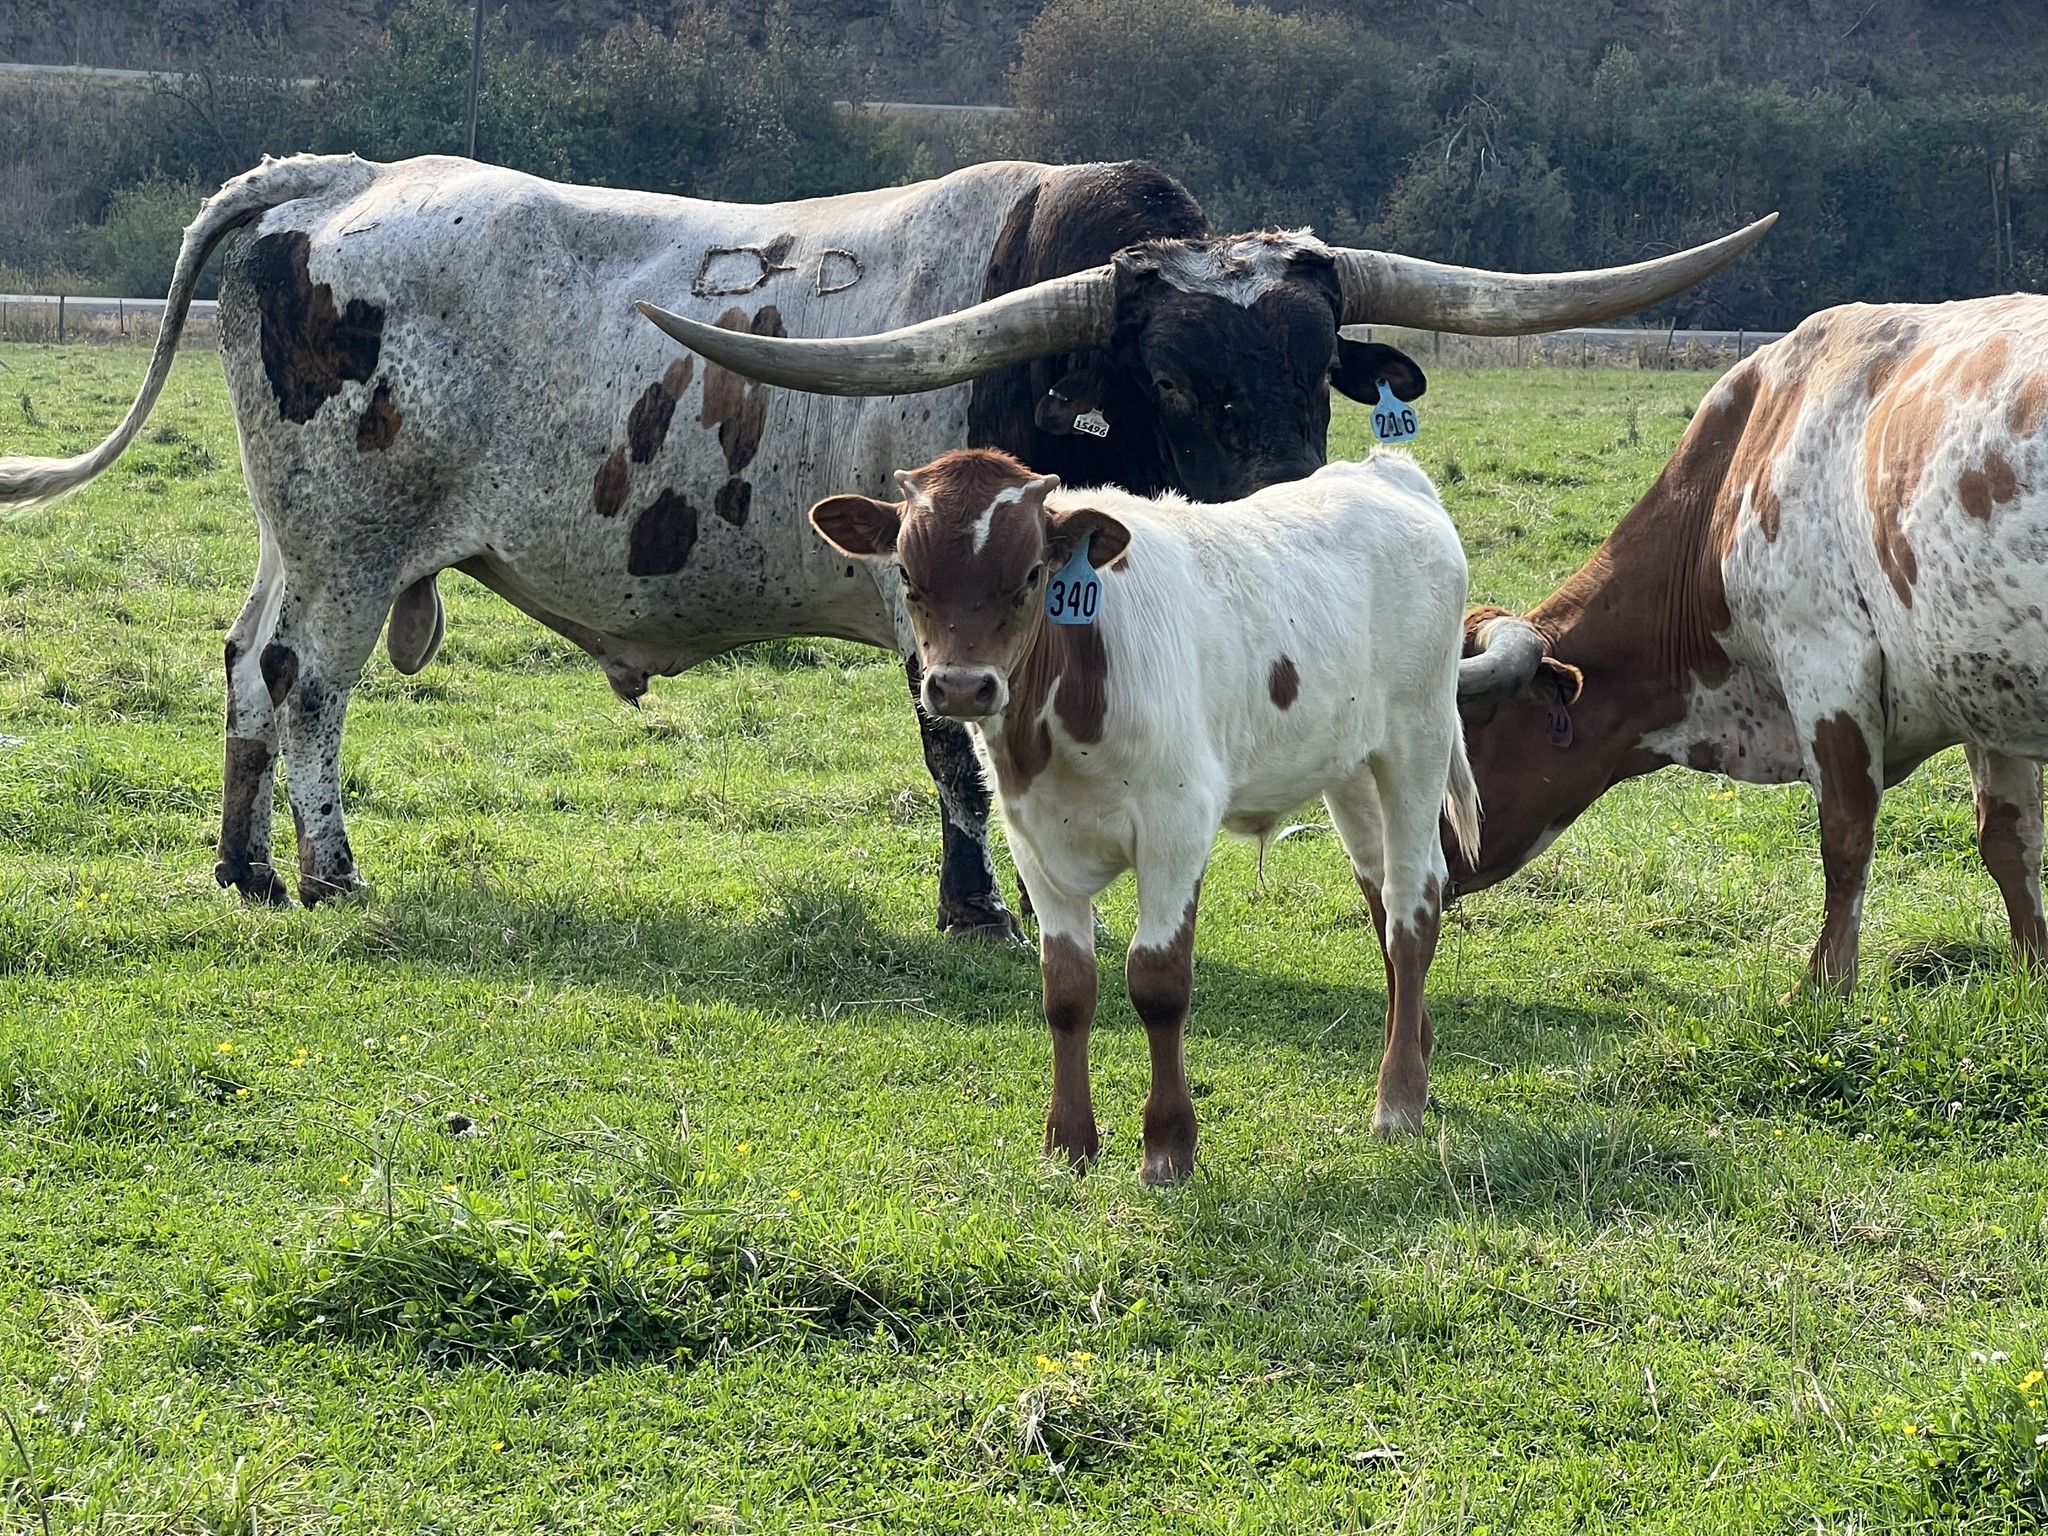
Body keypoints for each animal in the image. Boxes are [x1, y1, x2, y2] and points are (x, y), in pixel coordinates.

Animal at [0, 151, 1770, 936]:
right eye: (1177, 380)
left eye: (1308, 378)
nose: (1297, 521)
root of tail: (337, 178)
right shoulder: (945, 611)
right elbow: (956, 758)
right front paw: (981, 904)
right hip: (355, 540)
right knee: (310, 683)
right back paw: (329, 869)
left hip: (294, 530)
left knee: (246, 664)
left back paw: (239, 869)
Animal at [808, 446, 1482, 1181]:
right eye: (907, 572)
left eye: (1032, 573)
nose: (961, 687)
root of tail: (1382, 470)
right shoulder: (1031, 841)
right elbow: (1066, 988)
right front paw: (1068, 1144)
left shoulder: (1176, 825)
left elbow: (1158, 982)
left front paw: (1167, 1147)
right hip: (1350, 767)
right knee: (1381, 897)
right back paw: (1418, 1055)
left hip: (1416, 741)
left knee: (1412, 909)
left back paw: (1399, 1098)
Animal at [1450, 297, 2048, 993]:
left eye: (1464, 735)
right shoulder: (1980, 688)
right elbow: (2009, 840)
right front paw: (2034, 973)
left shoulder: (1825, 663)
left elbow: (1845, 834)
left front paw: (1823, 986)